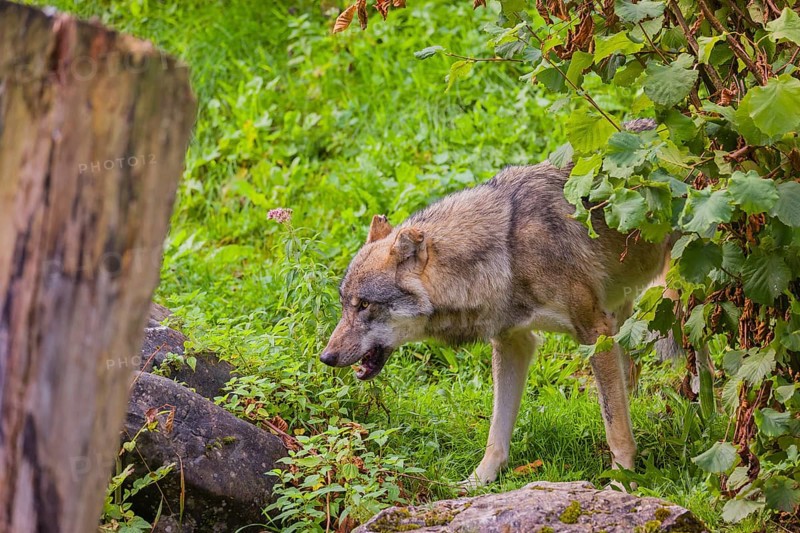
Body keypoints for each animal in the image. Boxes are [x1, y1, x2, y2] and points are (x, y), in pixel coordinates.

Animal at [320, 161, 672, 488]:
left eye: (365, 305)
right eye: (344, 304)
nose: (326, 357)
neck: (507, 252)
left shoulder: (594, 331)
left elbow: (615, 426)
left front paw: (622, 481)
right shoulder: (513, 342)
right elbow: (497, 430)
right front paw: (477, 482)